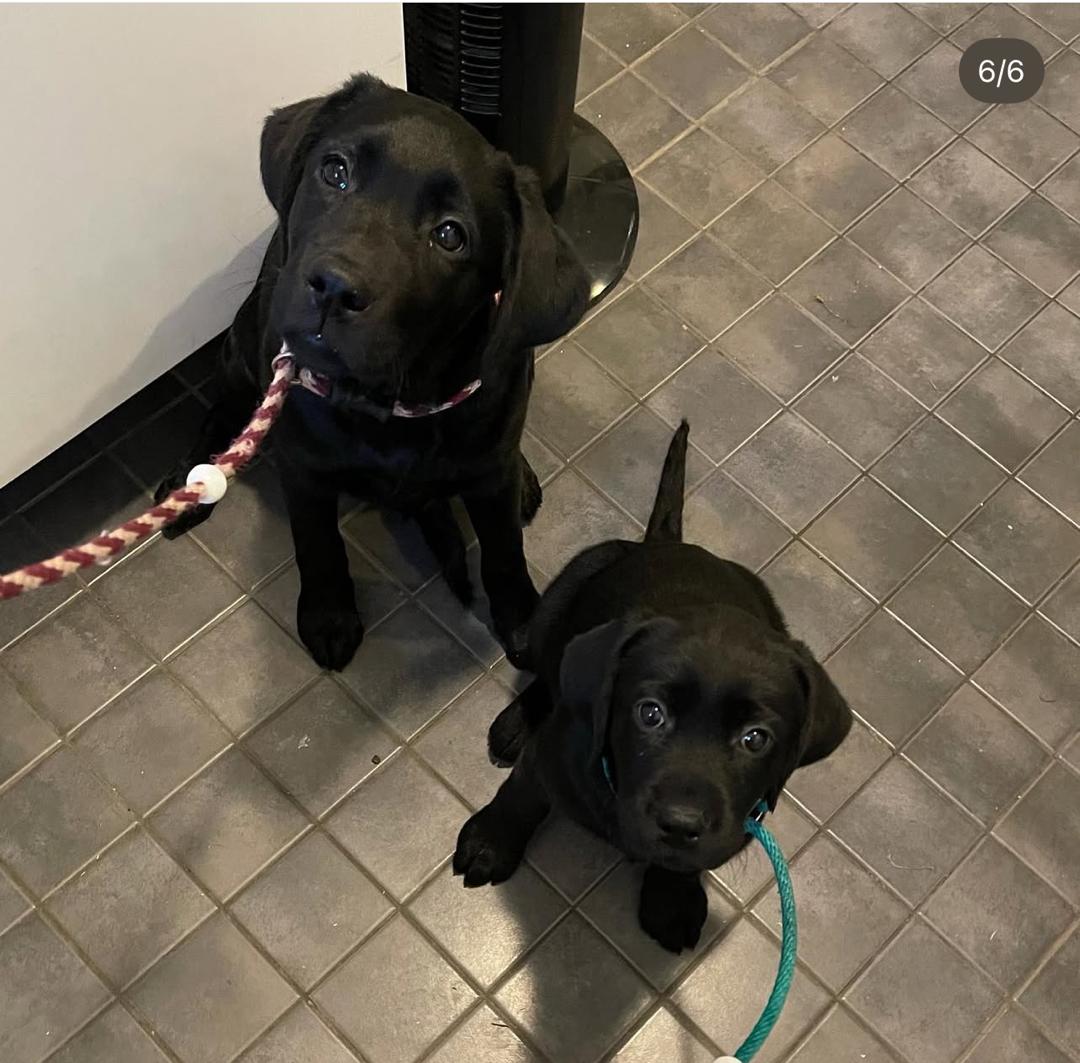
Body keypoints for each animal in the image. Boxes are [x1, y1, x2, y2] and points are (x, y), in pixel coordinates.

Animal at [156, 74, 589, 670]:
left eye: (449, 236)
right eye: (335, 171)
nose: (335, 288)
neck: (392, 403)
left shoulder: (488, 465)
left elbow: (504, 550)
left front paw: (525, 624)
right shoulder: (304, 466)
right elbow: (317, 544)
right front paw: (329, 616)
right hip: (241, 348)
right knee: (223, 409)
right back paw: (192, 481)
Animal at [453, 422, 852, 952]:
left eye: (755, 739)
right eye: (650, 713)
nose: (681, 824)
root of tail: (664, 542)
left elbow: (686, 862)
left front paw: (672, 897)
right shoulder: (553, 752)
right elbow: (523, 791)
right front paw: (491, 840)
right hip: (553, 606)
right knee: (553, 669)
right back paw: (516, 723)